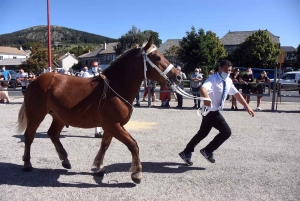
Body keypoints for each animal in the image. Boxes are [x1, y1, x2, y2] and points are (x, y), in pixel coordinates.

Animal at [17, 36, 180, 184]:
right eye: (157, 57)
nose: (178, 75)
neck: (115, 88)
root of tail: (35, 80)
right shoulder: (113, 125)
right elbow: (133, 145)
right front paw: (136, 173)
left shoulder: (111, 126)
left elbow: (105, 145)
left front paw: (98, 167)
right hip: (36, 115)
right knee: (29, 136)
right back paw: (27, 164)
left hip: (59, 117)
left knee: (53, 134)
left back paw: (65, 160)